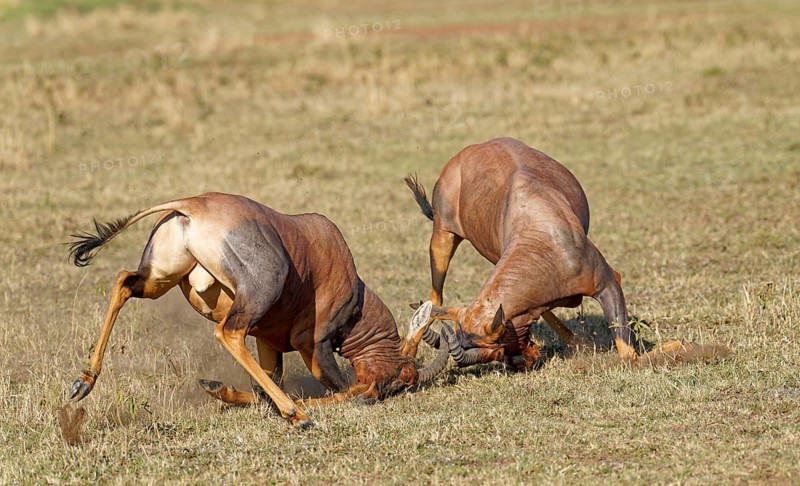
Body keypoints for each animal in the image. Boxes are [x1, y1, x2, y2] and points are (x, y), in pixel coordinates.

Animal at [67, 192, 447, 428]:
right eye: (403, 377)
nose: (373, 398)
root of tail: (193, 206)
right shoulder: (315, 345)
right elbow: (339, 386)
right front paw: (302, 408)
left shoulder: (267, 343)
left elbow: (265, 385)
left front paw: (218, 389)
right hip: (258, 292)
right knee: (228, 332)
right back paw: (297, 415)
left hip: (159, 278)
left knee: (123, 282)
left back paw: (83, 382)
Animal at [403, 137, 731, 368]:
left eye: (495, 348)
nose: (525, 361)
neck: (541, 231)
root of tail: (465, 155)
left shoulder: (607, 282)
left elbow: (627, 352)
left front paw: (684, 346)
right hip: (444, 234)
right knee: (435, 298)